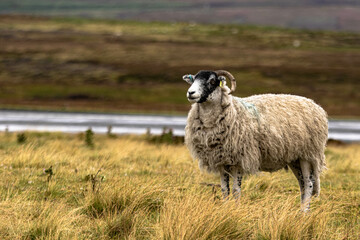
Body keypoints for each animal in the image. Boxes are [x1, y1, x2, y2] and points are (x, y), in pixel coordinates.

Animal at [184, 69, 328, 210]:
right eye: (194, 79)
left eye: (212, 81)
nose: (190, 93)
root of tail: (316, 106)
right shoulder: (221, 160)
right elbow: (225, 189)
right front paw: (225, 209)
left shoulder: (240, 159)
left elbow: (236, 190)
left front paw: (235, 210)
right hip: (295, 158)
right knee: (302, 184)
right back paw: (301, 211)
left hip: (308, 154)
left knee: (308, 184)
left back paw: (304, 212)